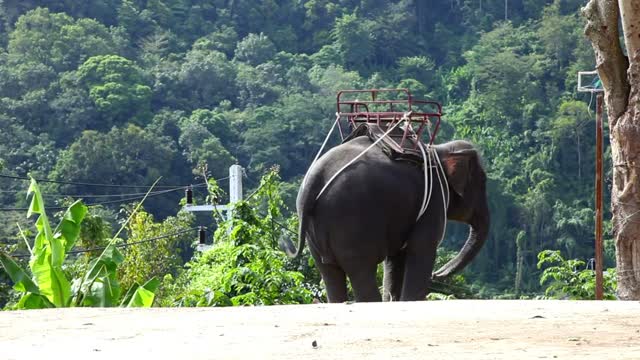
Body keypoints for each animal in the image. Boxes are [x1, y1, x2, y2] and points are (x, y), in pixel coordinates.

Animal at [282, 132, 490, 300]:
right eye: (483, 182)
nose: (437, 275)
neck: (438, 150)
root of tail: (314, 178)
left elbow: (395, 259)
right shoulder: (434, 199)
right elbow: (421, 247)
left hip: (316, 231)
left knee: (329, 273)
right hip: (350, 223)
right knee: (362, 271)